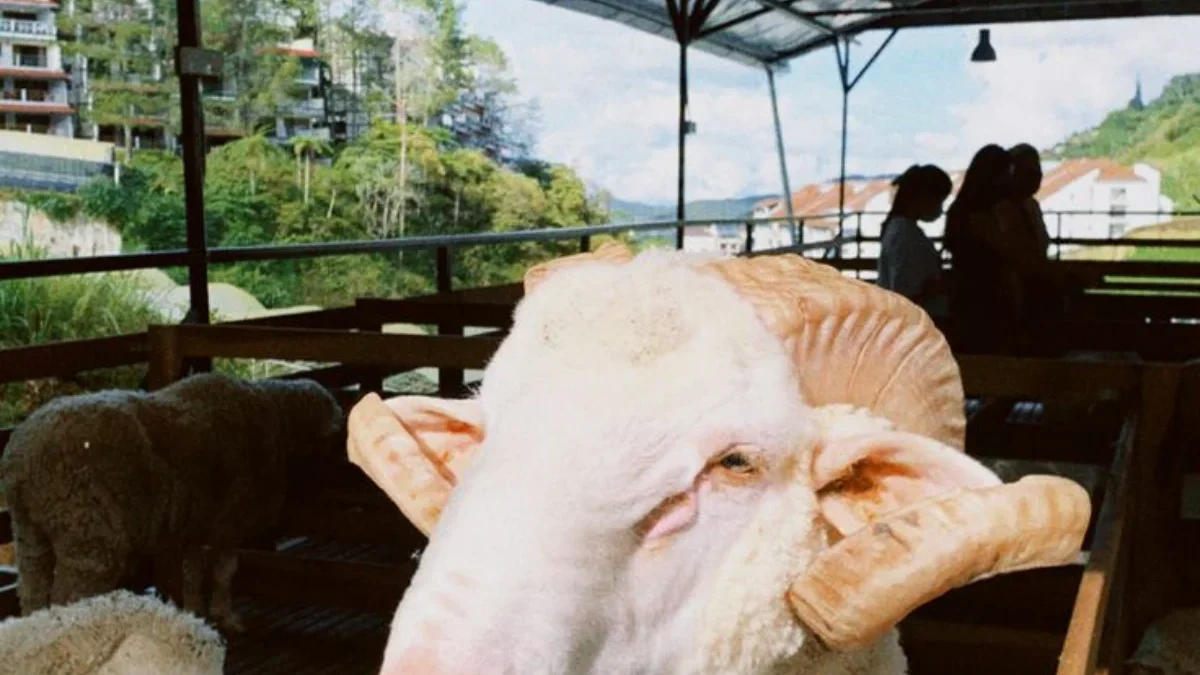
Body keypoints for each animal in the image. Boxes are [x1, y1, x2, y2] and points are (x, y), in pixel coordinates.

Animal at [1, 372, 343, 629]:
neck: (278, 420)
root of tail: (22, 459)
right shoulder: (230, 522)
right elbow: (225, 572)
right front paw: (226, 615)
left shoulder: (195, 524)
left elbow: (192, 573)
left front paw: (195, 613)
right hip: (87, 530)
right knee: (69, 595)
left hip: (30, 530)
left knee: (31, 591)